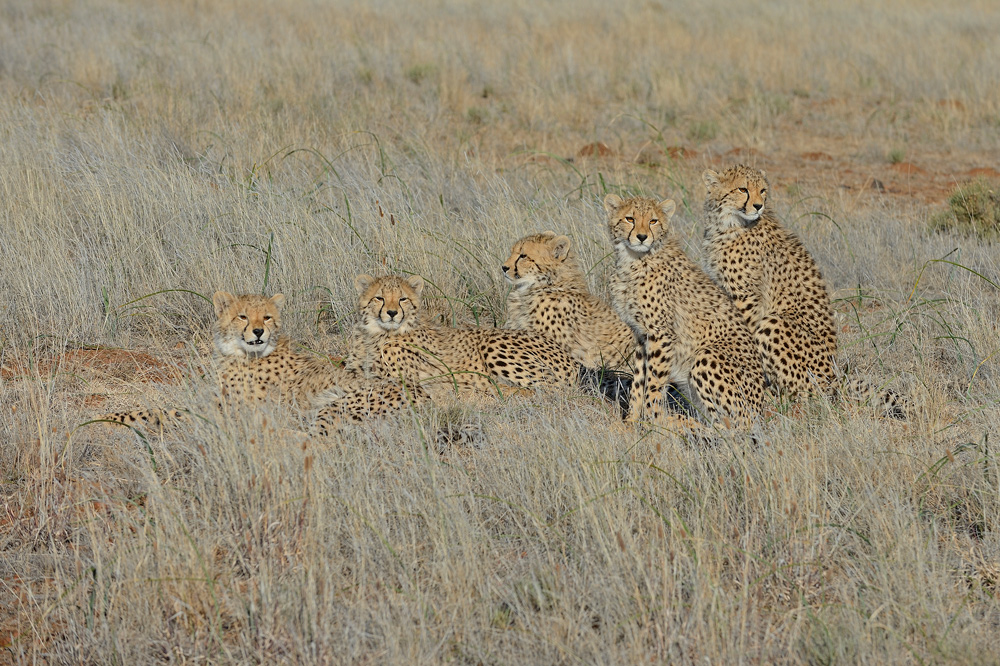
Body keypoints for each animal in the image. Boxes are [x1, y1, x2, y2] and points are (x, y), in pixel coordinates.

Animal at [103, 290, 428, 430]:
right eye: (243, 316)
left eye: (268, 317)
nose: (259, 331)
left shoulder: (227, 412)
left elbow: (161, 412)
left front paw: (113, 417)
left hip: (335, 406)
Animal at [350, 272, 584, 402]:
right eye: (379, 298)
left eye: (403, 299)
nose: (391, 313)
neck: (379, 333)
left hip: (493, 344)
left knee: (551, 389)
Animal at [600, 192, 764, 426]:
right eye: (629, 219)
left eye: (653, 221)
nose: (641, 237)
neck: (633, 260)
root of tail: (759, 411)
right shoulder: (642, 335)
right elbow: (639, 381)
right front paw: (631, 421)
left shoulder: (662, 335)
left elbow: (653, 383)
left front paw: (653, 422)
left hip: (705, 356)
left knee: (727, 426)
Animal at [704, 163, 908, 416]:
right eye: (743, 189)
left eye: (762, 190)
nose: (759, 206)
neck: (728, 222)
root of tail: (833, 375)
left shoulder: (747, 298)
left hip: (774, 322)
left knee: (809, 394)